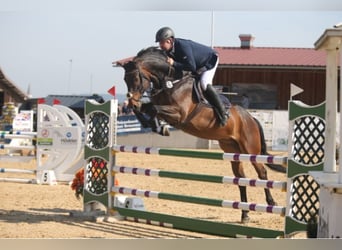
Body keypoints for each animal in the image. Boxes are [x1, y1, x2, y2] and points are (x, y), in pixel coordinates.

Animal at [117, 46, 286, 223]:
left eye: (135, 78)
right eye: (125, 79)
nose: (131, 100)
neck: (169, 82)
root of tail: (251, 118)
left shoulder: (180, 114)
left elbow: (154, 109)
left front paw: (158, 126)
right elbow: (146, 109)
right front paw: (154, 125)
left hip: (250, 150)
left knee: (262, 172)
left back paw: (271, 202)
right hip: (233, 151)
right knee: (241, 179)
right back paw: (245, 214)